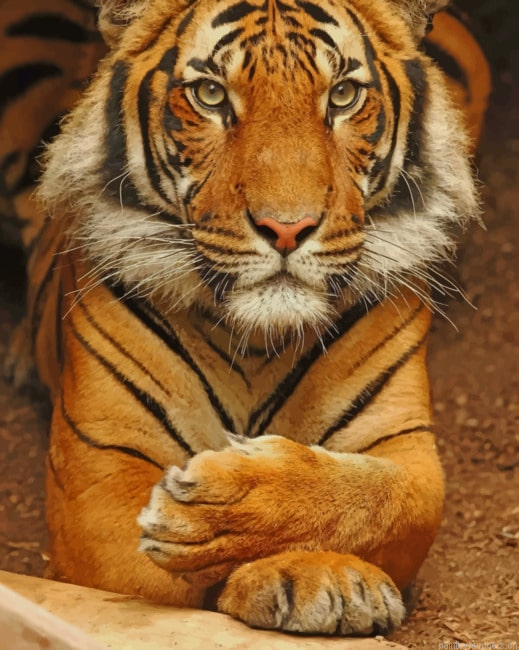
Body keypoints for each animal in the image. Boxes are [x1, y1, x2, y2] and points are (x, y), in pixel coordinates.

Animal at [2, 0, 490, 637]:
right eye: (211, 95)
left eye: (342, 96)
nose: (287, 227)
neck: (257, 340)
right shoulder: (100, 474)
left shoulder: (407, 449)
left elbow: (382, 500)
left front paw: (310, 563)